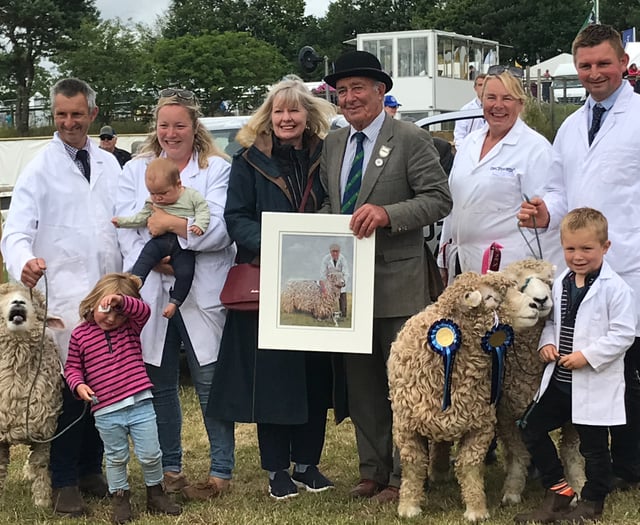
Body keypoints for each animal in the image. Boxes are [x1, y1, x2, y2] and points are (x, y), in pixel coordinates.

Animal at [0, 282, 63, 508]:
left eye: (33, 299)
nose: (18, 302)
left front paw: (42, 500)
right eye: (2, 296)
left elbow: (40, 464)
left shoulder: (45, 431)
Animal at [388, 270, 544, 520]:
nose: (534, 305)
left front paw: (476, 509)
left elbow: (469, 466)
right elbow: (414, 465)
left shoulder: (480, 425)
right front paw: (409, 507)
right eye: (490, 298)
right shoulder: (405, 427)